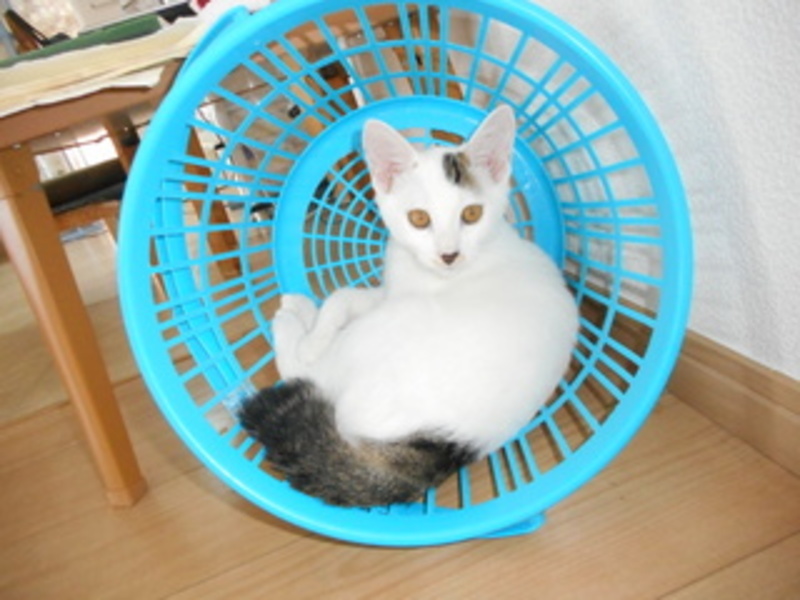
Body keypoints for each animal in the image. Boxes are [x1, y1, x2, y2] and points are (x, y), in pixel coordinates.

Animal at [239, 105, 579, 507]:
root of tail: (444, 445)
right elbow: (344, 297)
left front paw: (311, 338)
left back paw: (290, 322)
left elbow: (336, 309)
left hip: (380, 334)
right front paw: (319, 320)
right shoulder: (393, 291)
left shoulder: (399, 302)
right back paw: (303, 309)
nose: (449, 254)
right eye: (419, 219)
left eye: (472, 214)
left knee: (306, 373)